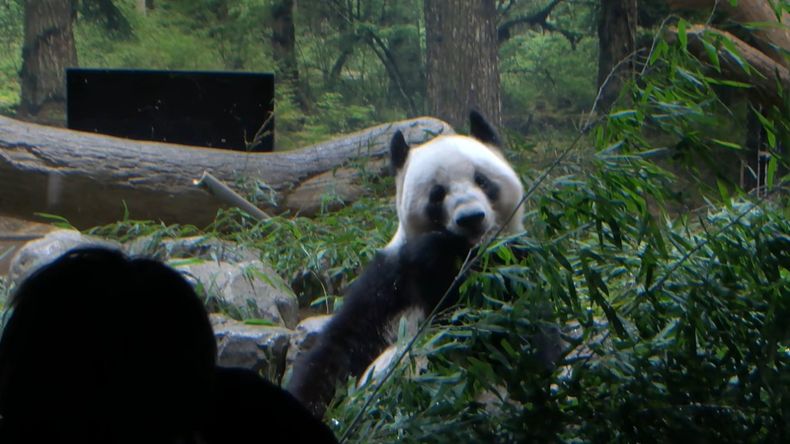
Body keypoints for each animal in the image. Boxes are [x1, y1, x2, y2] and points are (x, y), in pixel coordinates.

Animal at [287, 111, 525, 418]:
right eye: (437, 194)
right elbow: (340, 347)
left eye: (482, 180)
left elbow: (494, 326)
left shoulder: (513, 262)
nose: (470, 218)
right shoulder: (390, 282)